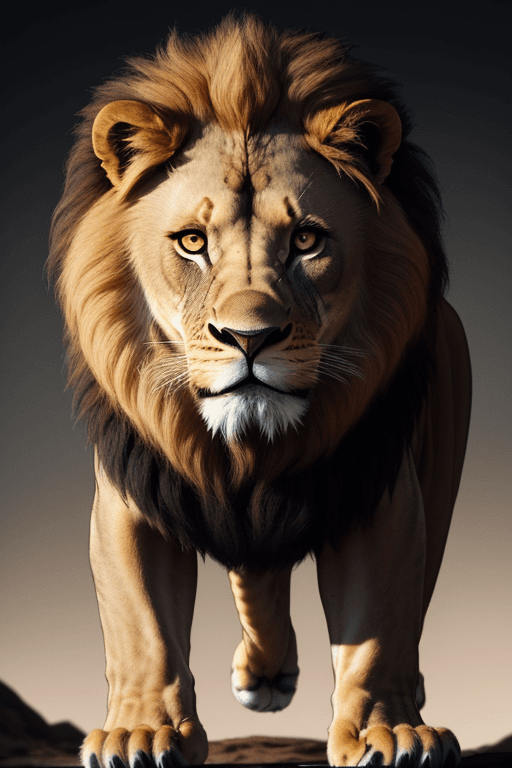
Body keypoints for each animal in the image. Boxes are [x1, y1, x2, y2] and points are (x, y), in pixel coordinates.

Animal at [49, 13, 471, 768]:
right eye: (191, 241)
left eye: (306, 239)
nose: (250, 338)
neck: (251, 449)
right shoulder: (136, 490)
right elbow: (141, 625)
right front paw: (141, 732)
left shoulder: (380, 487)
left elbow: (379, 624)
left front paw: (385, 732)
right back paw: (265, 674)